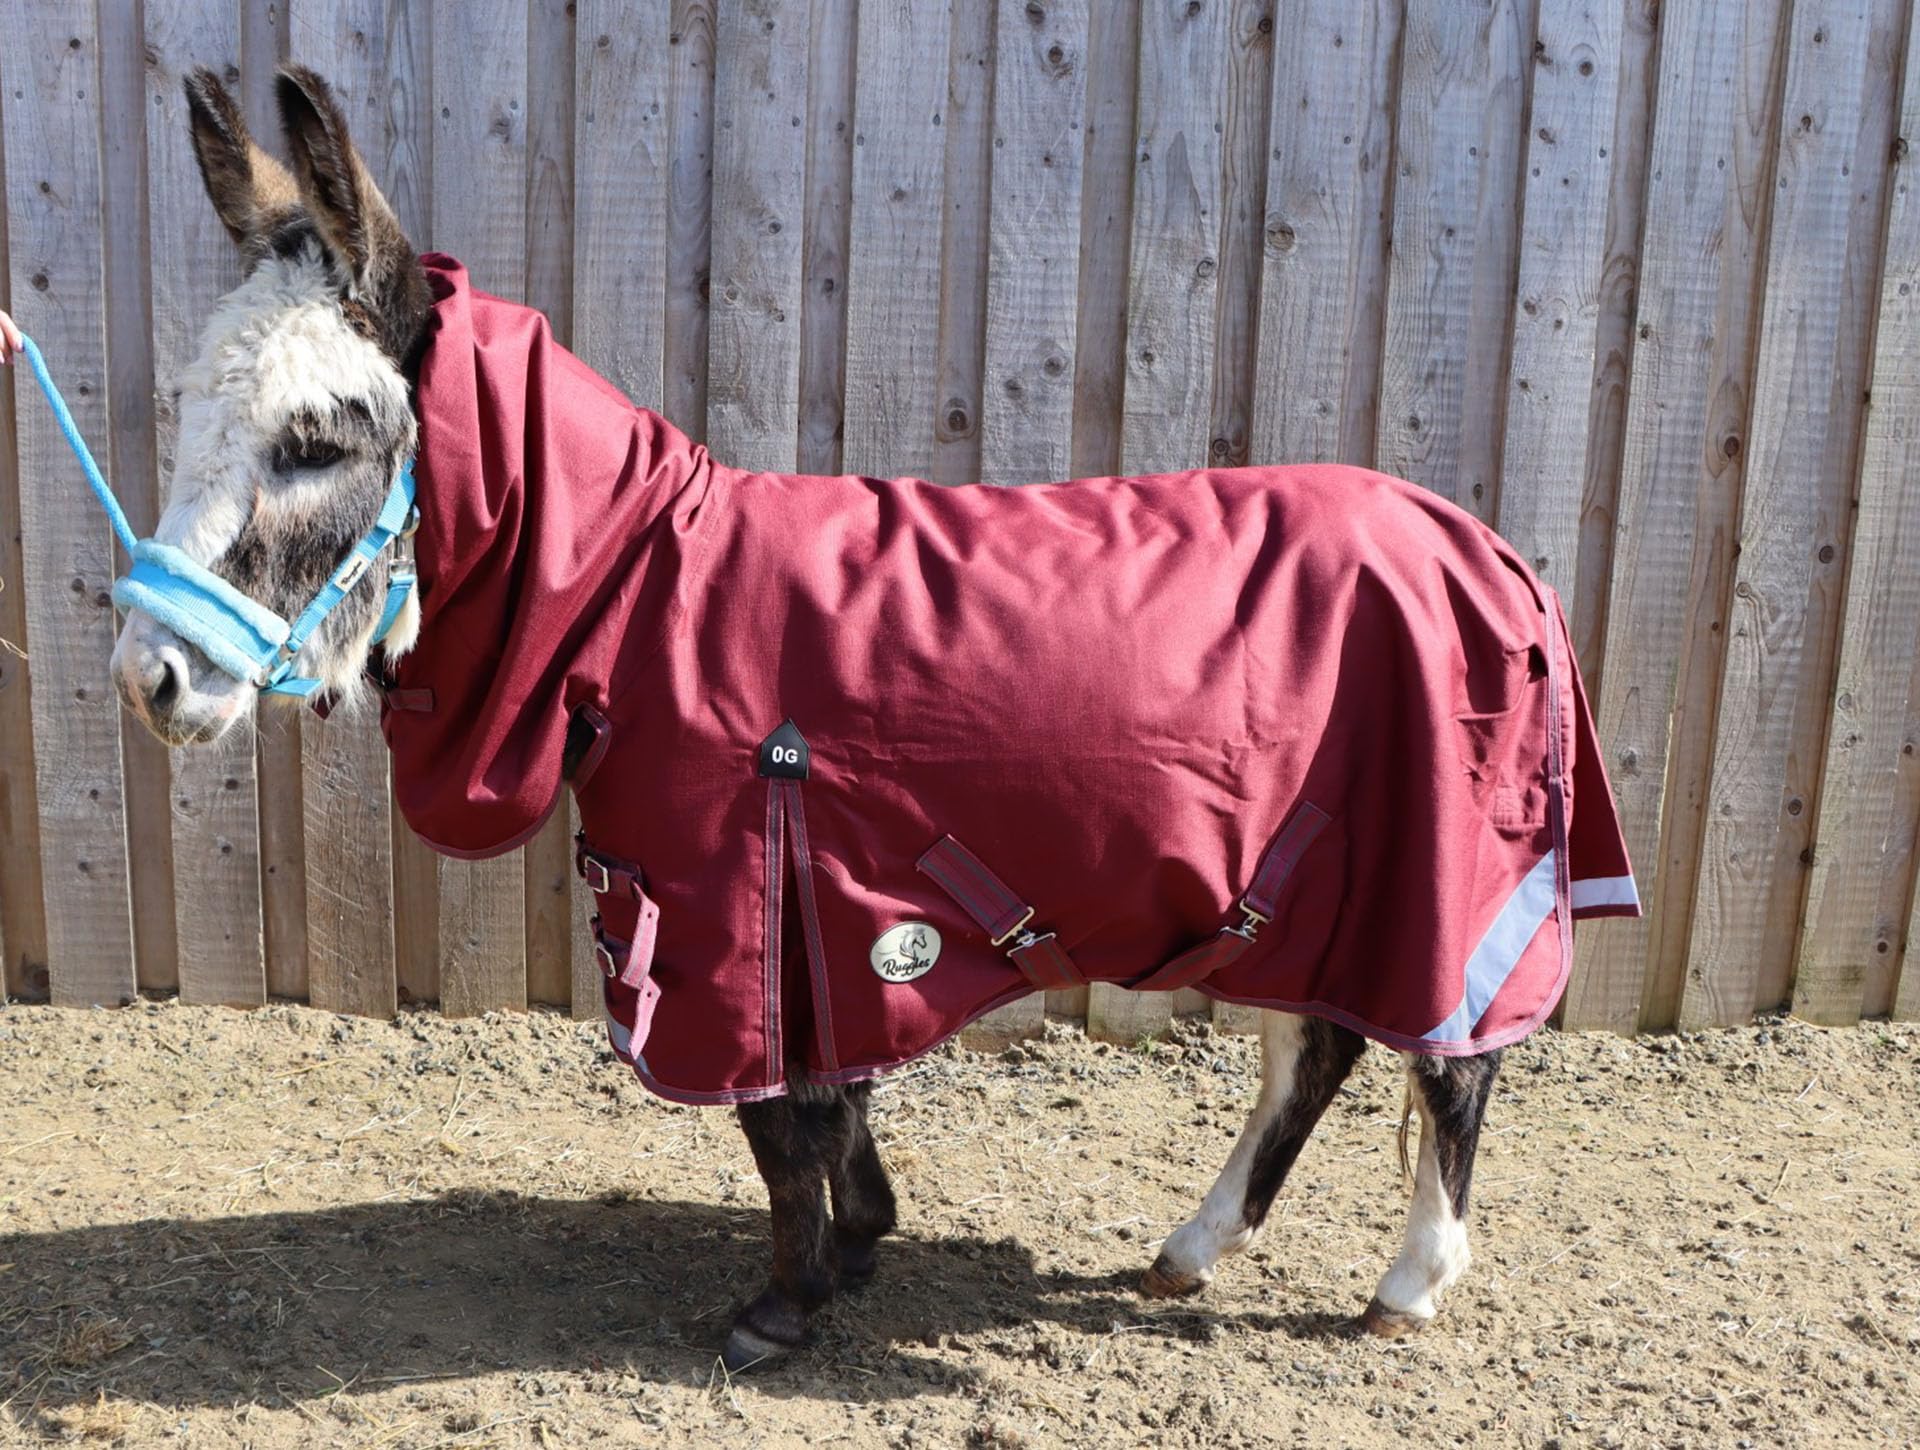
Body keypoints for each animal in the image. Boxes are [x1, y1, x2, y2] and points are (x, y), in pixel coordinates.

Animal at [101, 66, 1638, 1372]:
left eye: (317, 439)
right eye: (181, 408)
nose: (147, 679)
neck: (636, 585)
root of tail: (1489, 550)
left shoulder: (742, 897)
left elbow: (787, 1119)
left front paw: (783, 1306)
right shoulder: (809, 904)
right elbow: (832, 1101)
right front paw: (856, 1251)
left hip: (1437, 874)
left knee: (1450, 1062)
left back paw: (1409, 1281)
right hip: (1295, 885)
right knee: (1312, 1048)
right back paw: (1194, 1247)